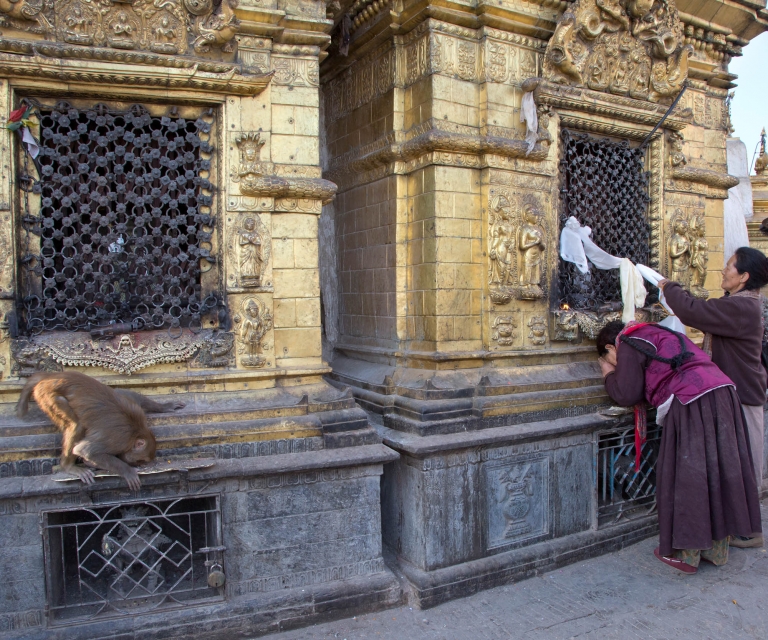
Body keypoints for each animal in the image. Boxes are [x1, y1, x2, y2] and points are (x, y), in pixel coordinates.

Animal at [16, 370, 184, 490]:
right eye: (141, 460)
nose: (141, 466)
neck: (137, 430)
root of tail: (50, 376)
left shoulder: (135, 408)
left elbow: (125, 393)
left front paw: (165, 406)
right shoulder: (118, 440)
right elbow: (86, 451)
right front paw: (127, 471)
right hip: (48, 397)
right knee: (76, 425)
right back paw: (68, 467)